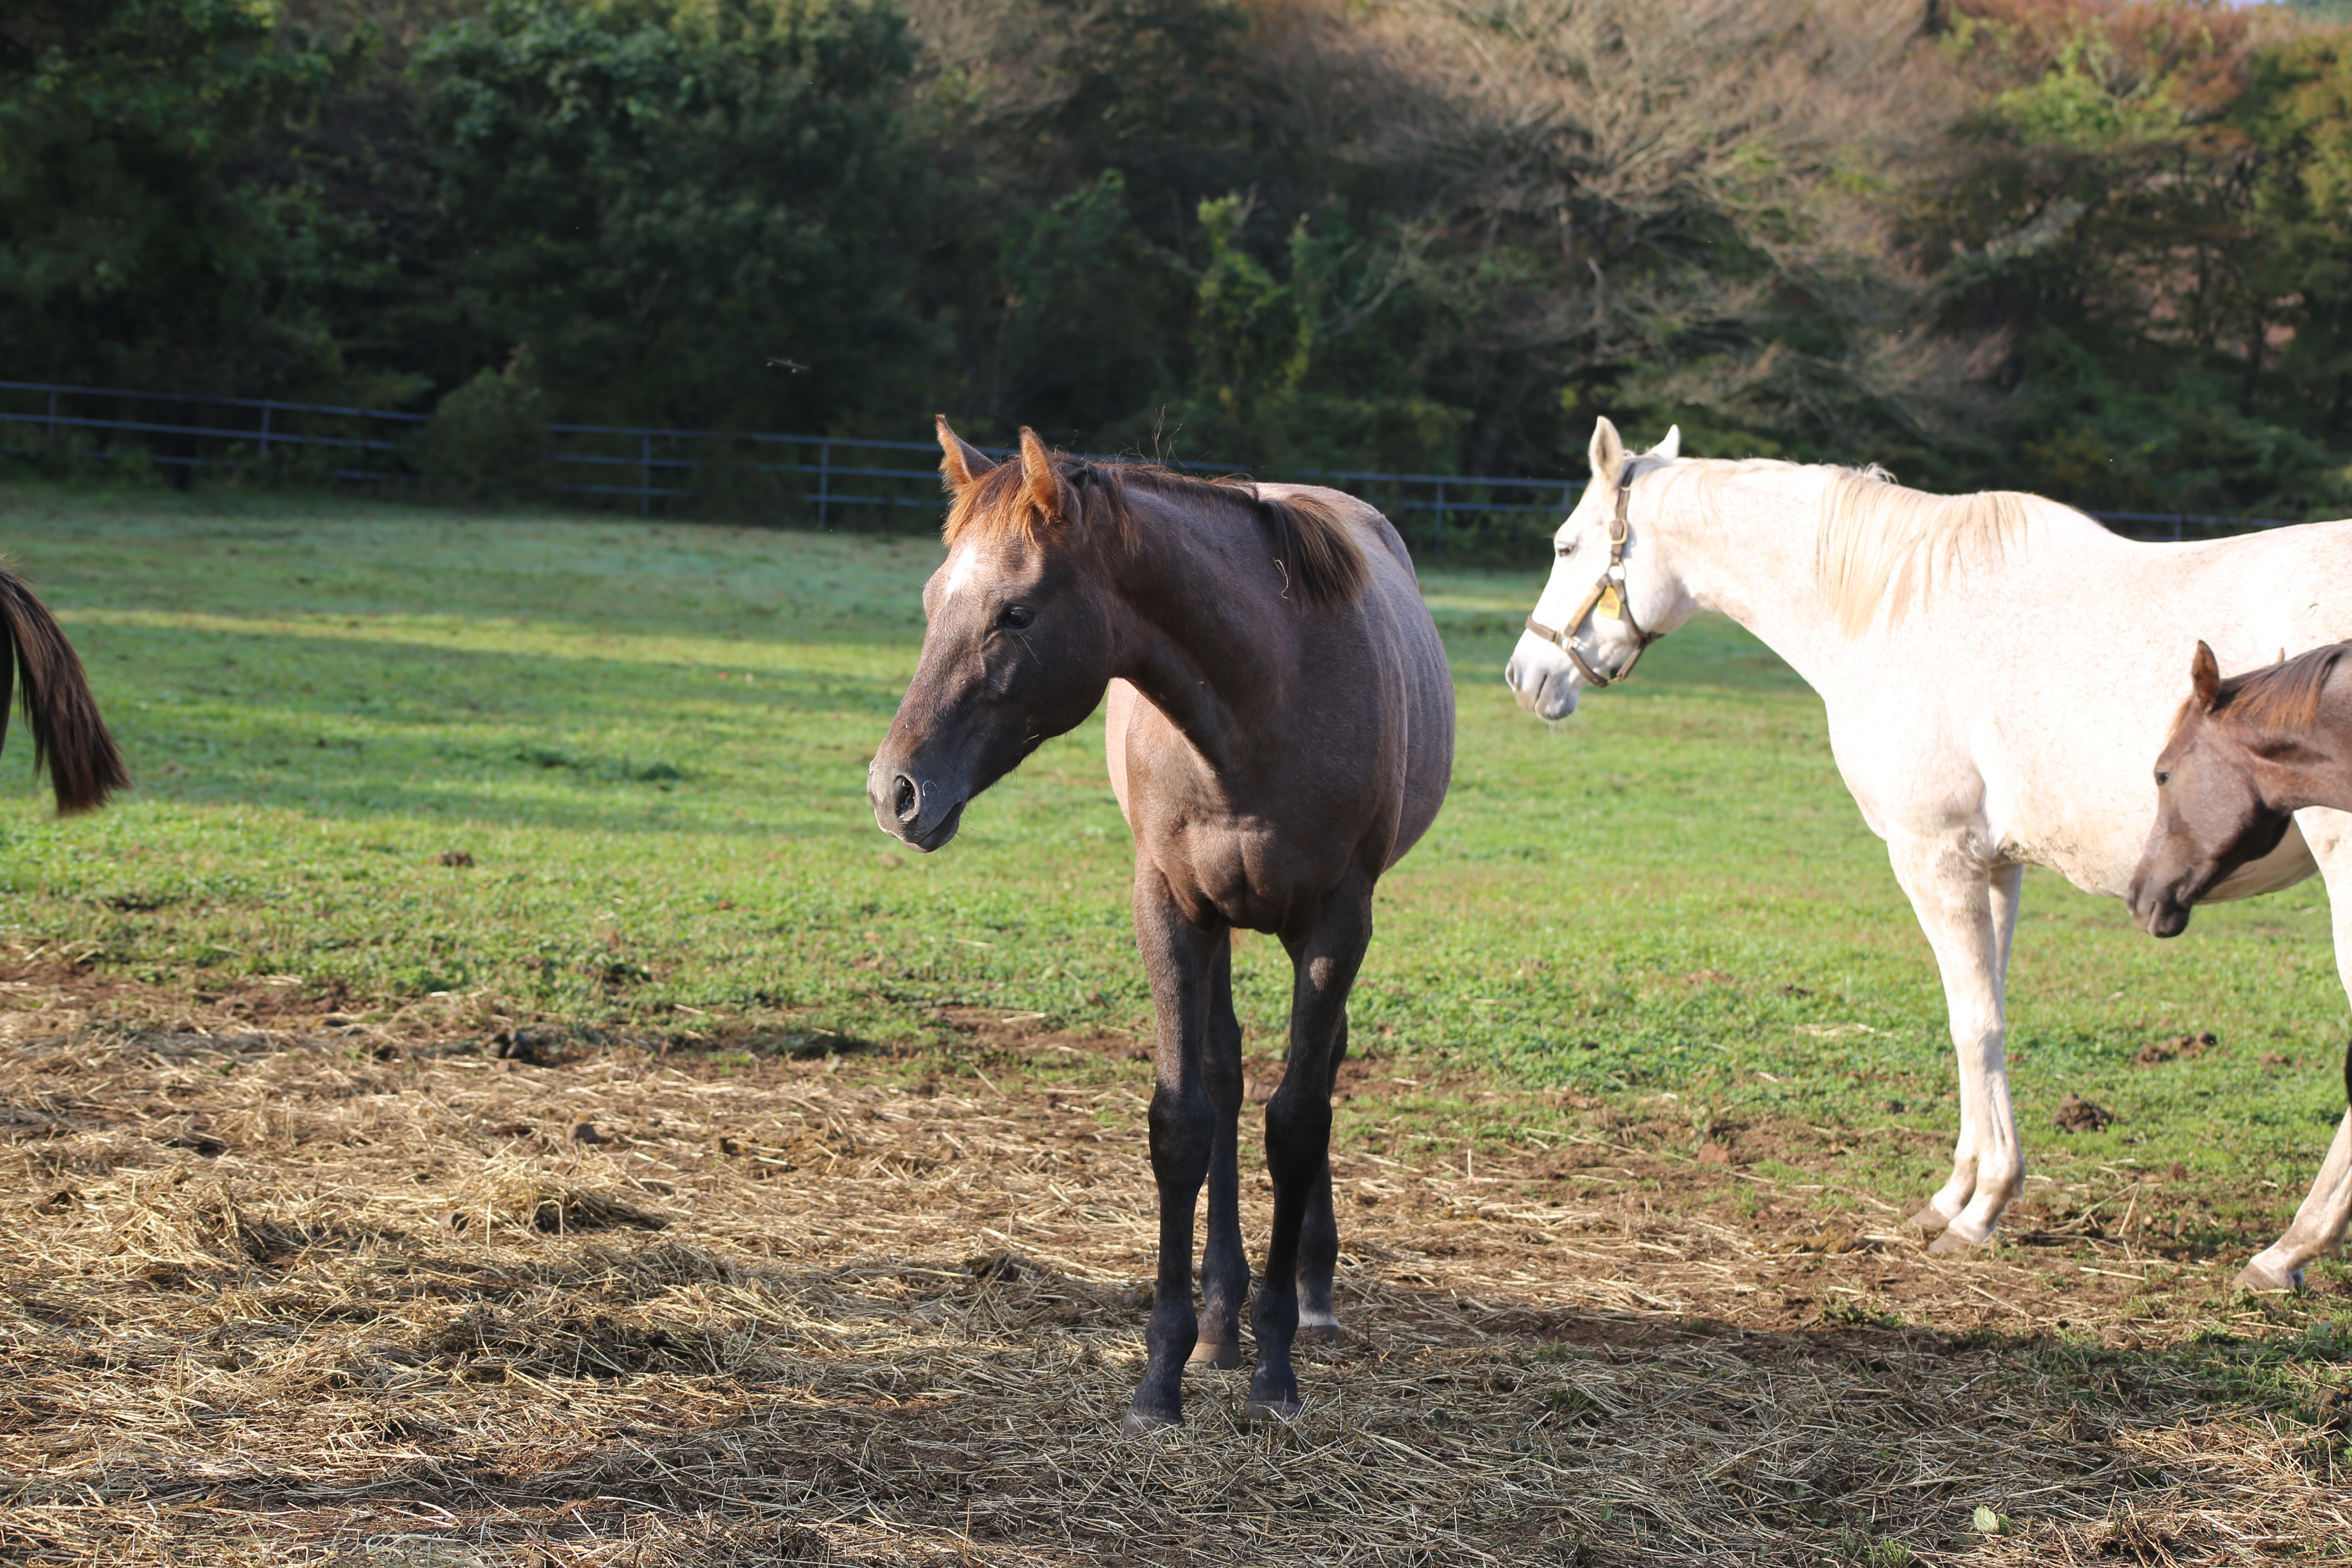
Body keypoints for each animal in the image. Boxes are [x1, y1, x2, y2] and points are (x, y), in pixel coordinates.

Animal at [870, 423, 1449, 1429]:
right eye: (934, 599)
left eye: (1016, 613)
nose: (894, 791)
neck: (1265, 701)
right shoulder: (1171, 906)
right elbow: (1183, 1123)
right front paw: (1164, 1373)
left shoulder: (1339, 921)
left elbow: (1298, 1123)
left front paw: (1276, 1372)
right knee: (1224, 1074)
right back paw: (1221, 1321)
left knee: (1316, 1074)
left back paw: (1311, 1293)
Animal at [1505, 416, 2352, 1288]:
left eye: (1566, 546)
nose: (1524, 675)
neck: (1895, 607)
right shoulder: (1996, 865)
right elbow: (1985, 1019)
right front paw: (1956, 1196)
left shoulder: (1933, 855)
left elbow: (1971, 1024)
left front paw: (1981, 1211)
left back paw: (2287, 1251)